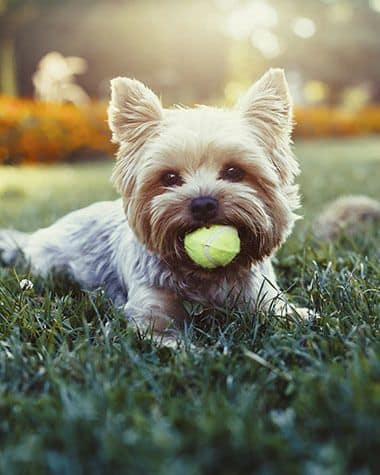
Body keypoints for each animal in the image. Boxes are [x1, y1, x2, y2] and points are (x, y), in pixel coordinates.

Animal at [0, 69, 306, 344]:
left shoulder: (264, 297)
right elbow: (168, 340)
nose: (203, 203)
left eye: (234, 171)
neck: (204, 276)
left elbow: (290, 314)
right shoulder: (150, 310)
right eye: (169, 178)